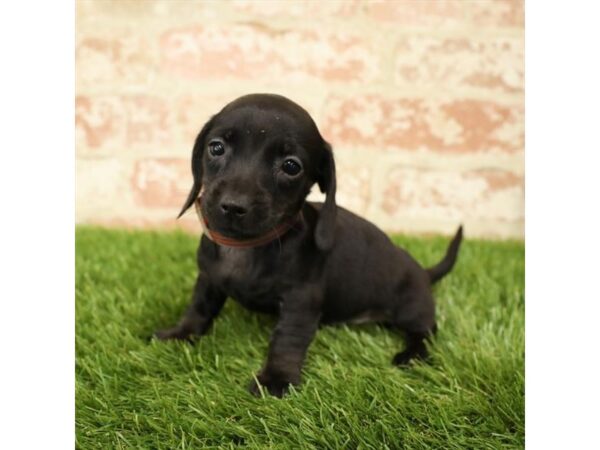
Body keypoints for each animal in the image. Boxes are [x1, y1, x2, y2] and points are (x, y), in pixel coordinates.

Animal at [156, 93, 464, 396]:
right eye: (216, 148)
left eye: (291, 166)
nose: (233, 205)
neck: (246, 246)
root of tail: (424, 272)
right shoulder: (208, 279)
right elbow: (198, 308)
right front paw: (181, 334)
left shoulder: (301, 300)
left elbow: (287, 338)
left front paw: (277, 378)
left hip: (412, 306)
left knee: (425, 332)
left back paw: (412, 354)